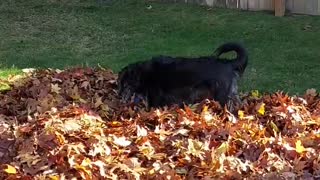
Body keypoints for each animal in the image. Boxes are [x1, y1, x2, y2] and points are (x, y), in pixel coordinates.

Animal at [117, 42, 248, 110]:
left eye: (123, 84)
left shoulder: (156, 96)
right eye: (119, 83)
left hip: (222, 96)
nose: (118, 96)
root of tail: (228, 63)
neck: (143, 73)